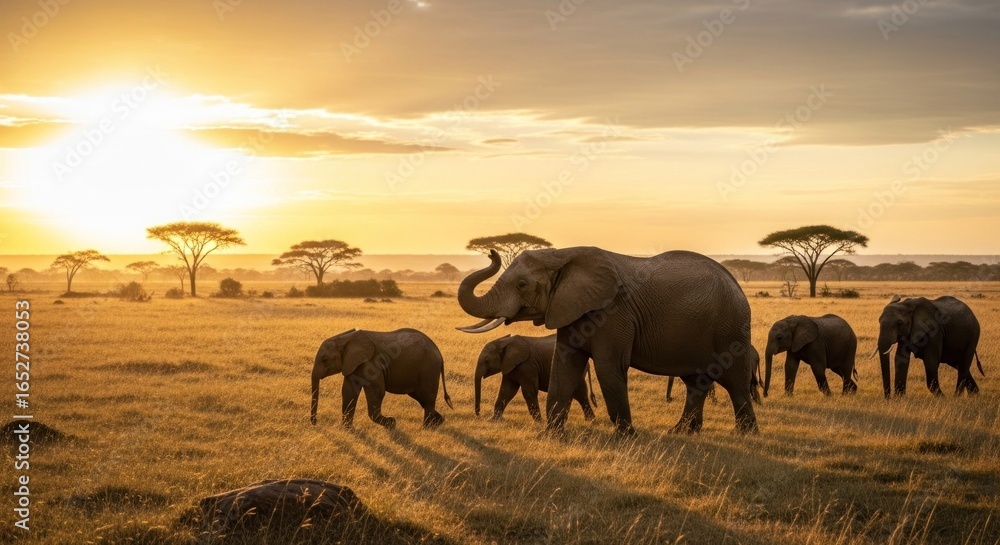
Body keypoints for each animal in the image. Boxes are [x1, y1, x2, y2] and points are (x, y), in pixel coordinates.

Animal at [310, 328, 453, 429]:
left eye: (324, 359)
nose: (315, 423)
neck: (345, 339)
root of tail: (439, 354)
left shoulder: (371, 363)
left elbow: (376, 391)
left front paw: (392, 423)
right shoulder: (352, 364)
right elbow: (348, 391)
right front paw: (347, 429)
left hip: (428, 369)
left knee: (427, 398)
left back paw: (426, 428)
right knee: (422, 398)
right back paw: (438, 422)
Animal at [457, 247, 760, 436]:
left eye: (521, 285)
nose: (492, 253)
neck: (562, 254)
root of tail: (737, 286)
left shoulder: (613, 313)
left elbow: (608, 367)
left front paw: (626, 437)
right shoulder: (569, 308)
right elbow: (564, 365)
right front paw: (550, 435)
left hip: (731, 328)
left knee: (734, 380)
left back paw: (745, 434)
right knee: (696, 382)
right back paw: (682, 432)